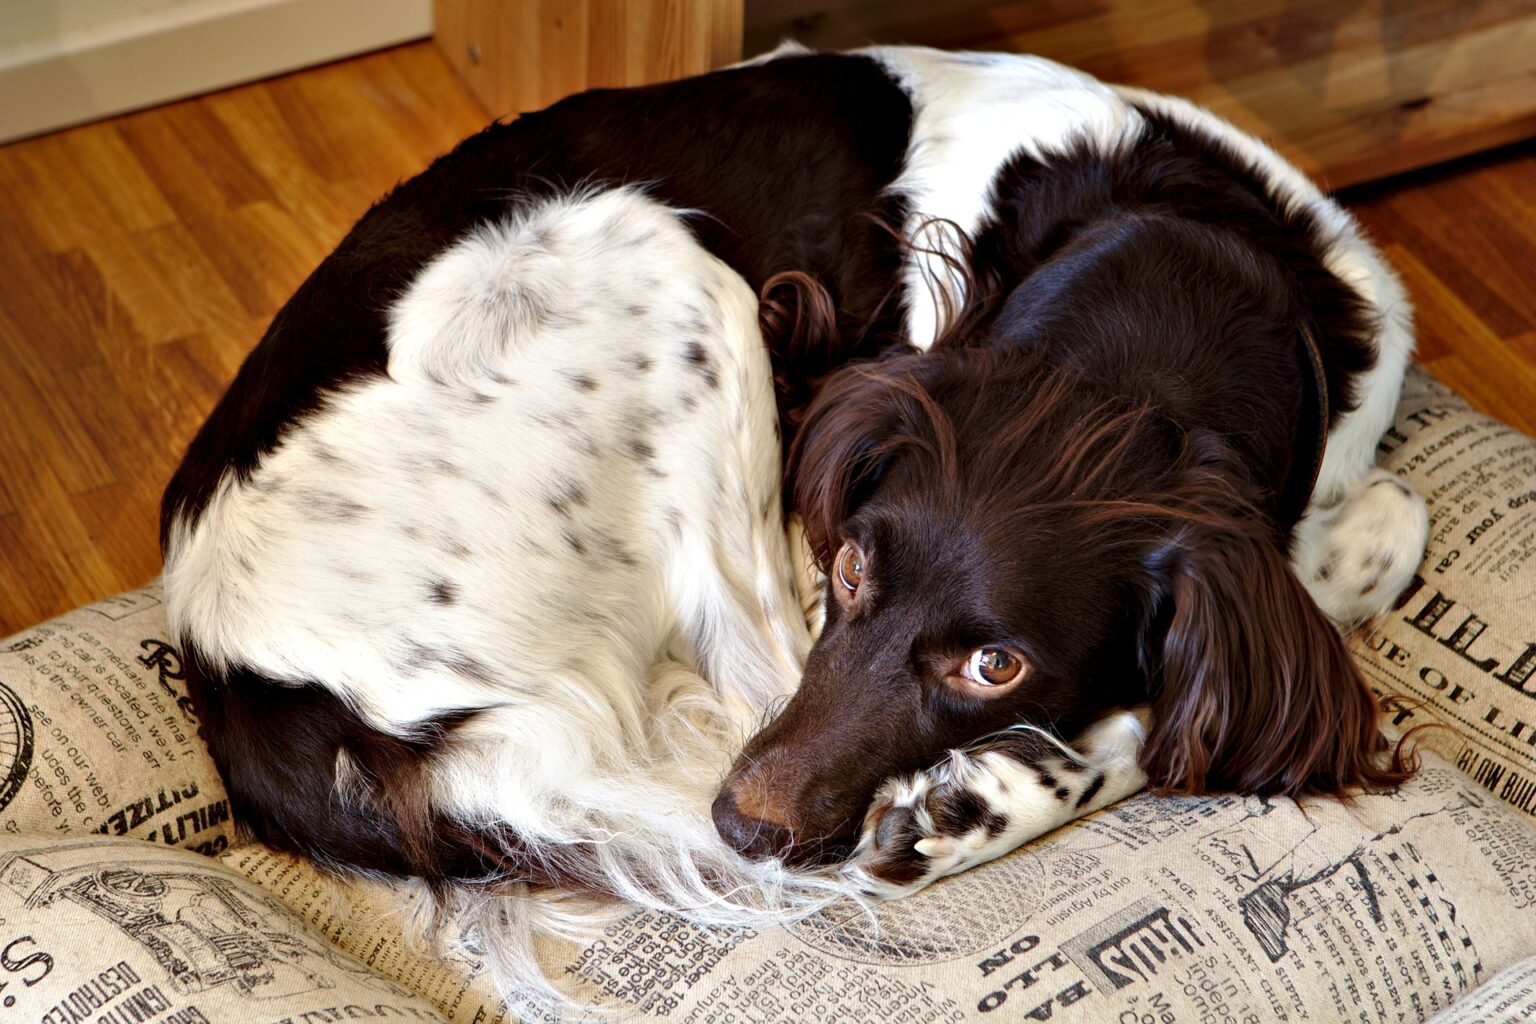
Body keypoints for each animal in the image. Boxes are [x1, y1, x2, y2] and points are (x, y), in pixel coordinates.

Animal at [158, 44, 1425, 1013]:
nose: (743, 825)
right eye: (853, 564)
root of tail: (242, 672)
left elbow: (1365, 537)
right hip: (665, 264)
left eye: (994, 663)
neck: (1189, 260)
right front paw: (989, 797)